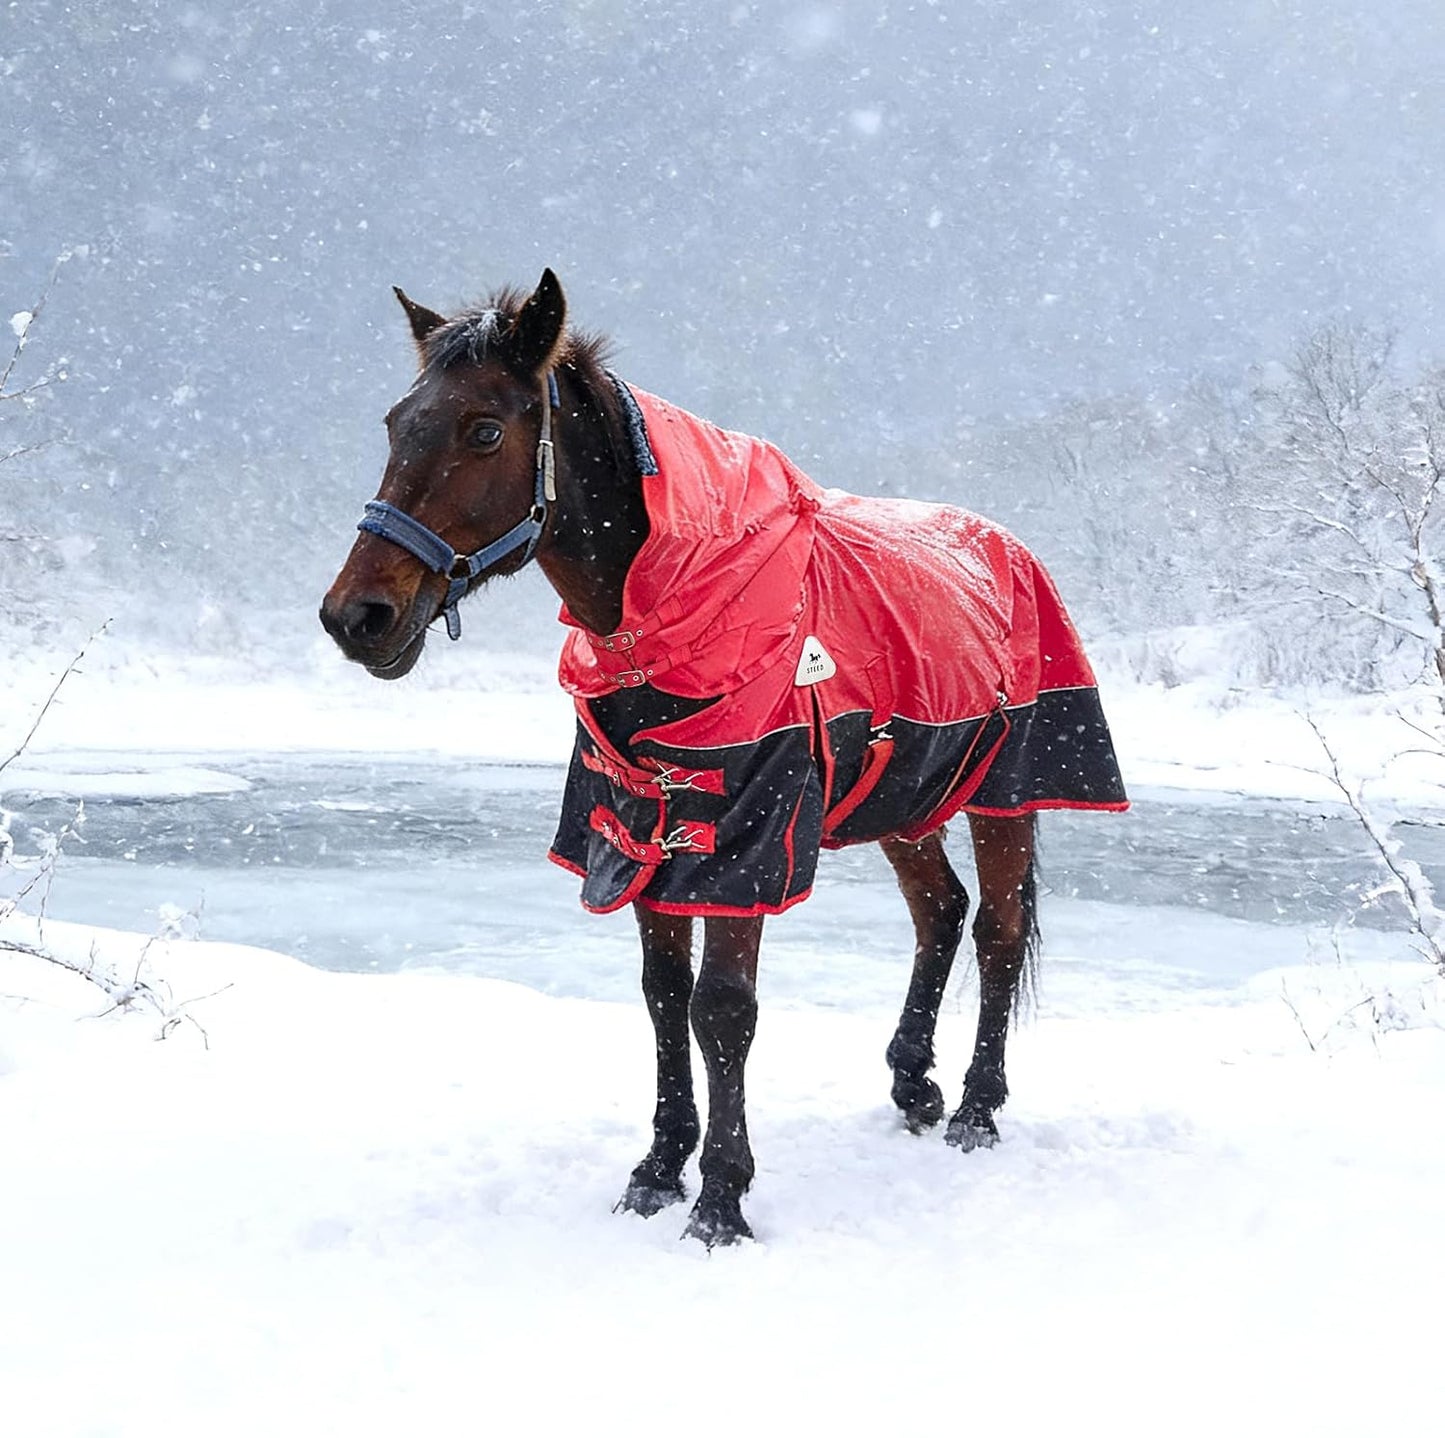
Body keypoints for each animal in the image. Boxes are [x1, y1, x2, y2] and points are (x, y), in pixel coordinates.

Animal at [321, 270, 1127, 1247]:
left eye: (483, 429)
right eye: (397, 422)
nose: (355, 616)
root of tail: (1007, 548)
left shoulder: (746, 839)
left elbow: (722, 1010)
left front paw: (719, 1202)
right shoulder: (637, 830)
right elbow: (663, 994)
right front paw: (656, 1171)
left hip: (1005, 795)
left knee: (998, 932)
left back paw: (975, 1108)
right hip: (904, 800)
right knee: (939, 914)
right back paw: (912, 1082)